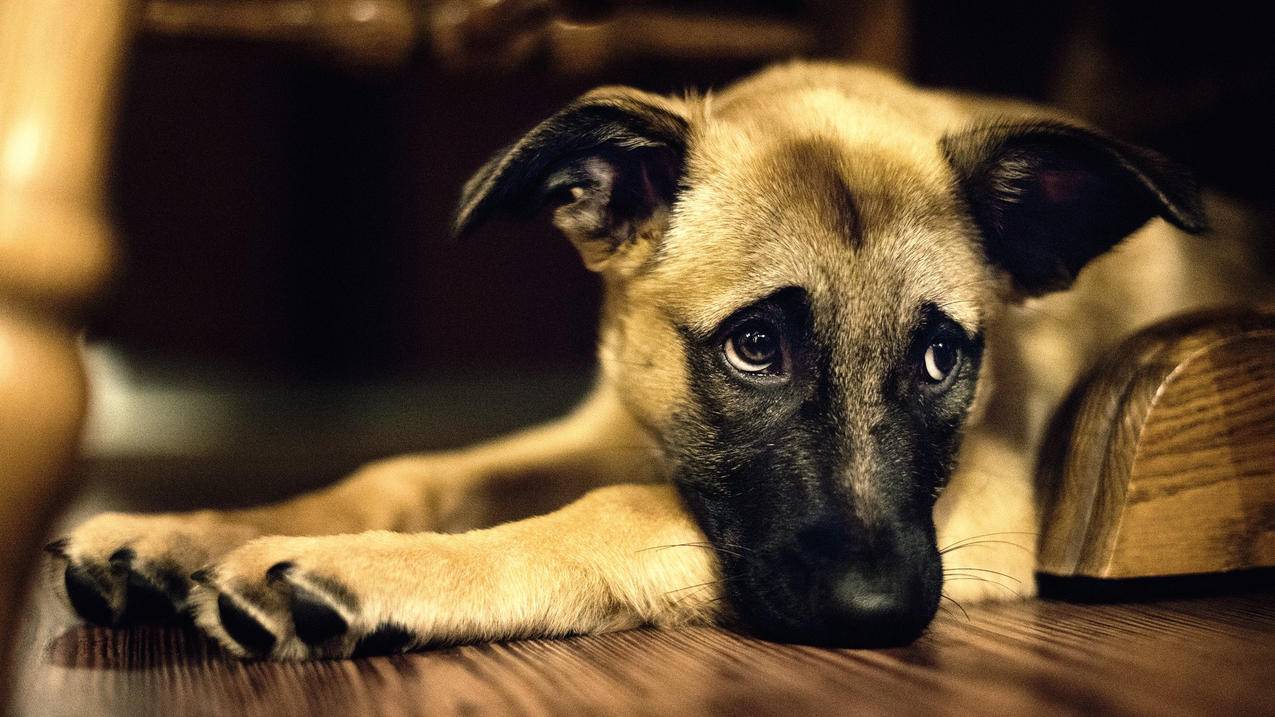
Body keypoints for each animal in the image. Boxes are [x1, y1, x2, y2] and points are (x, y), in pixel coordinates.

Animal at [42, 62, 1264, 658]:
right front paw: (189, 531)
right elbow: (410, 470)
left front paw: (368, 571)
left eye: (939, 358)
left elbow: (613, 515)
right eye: (755, 346)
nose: (876, 614)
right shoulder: (612, 425)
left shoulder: (993, 504)